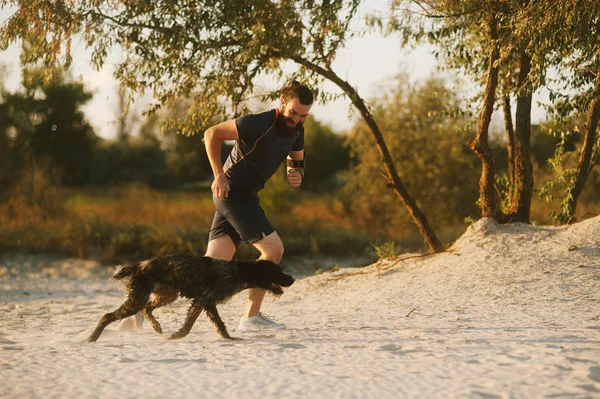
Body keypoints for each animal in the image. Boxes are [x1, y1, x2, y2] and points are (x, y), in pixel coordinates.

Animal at [88, 255, 294, 342]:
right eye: (278, 271)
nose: (292, 279)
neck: (238, 272)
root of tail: (139, 265)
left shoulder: (202, 302)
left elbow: (194, 324)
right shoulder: (206, 300)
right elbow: (214, 324)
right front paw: (229, 338)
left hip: (166, 295)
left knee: (146, 308)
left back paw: (156, 327)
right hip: (138, 298)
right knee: (108, 316)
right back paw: (92, 338)